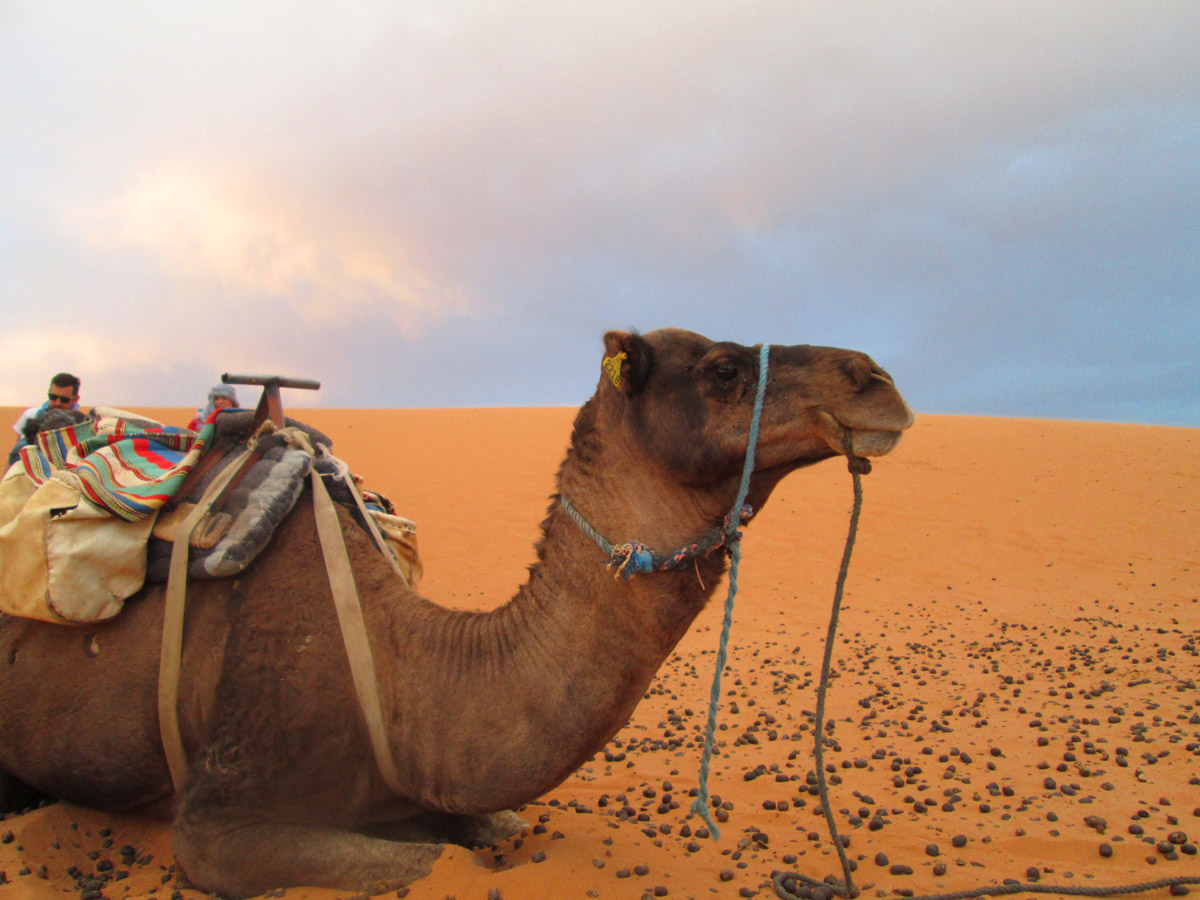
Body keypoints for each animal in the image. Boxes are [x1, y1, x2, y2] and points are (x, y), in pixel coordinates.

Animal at [0, 328, 907, 897]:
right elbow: (417, 865)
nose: (878, 379)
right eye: (722, 369)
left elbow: (491, 828)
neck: (404, 668)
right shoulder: (218, 822)